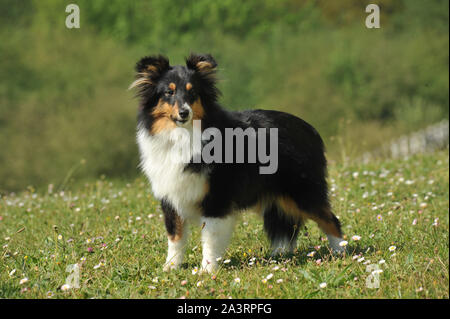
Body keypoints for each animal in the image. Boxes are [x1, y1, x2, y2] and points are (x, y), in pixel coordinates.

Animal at [130, 53, 344, 274]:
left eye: (193, 93)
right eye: (169, 92)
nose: (184, 112)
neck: (182, 134)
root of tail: (310, 129)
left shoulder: (216, 198)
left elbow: (210, 237)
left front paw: (207, 270)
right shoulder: (171, 197)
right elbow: (175, 236)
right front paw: (171, 267)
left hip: (302, 191)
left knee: (331, 219)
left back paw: (340, 252)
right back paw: (280, 256)